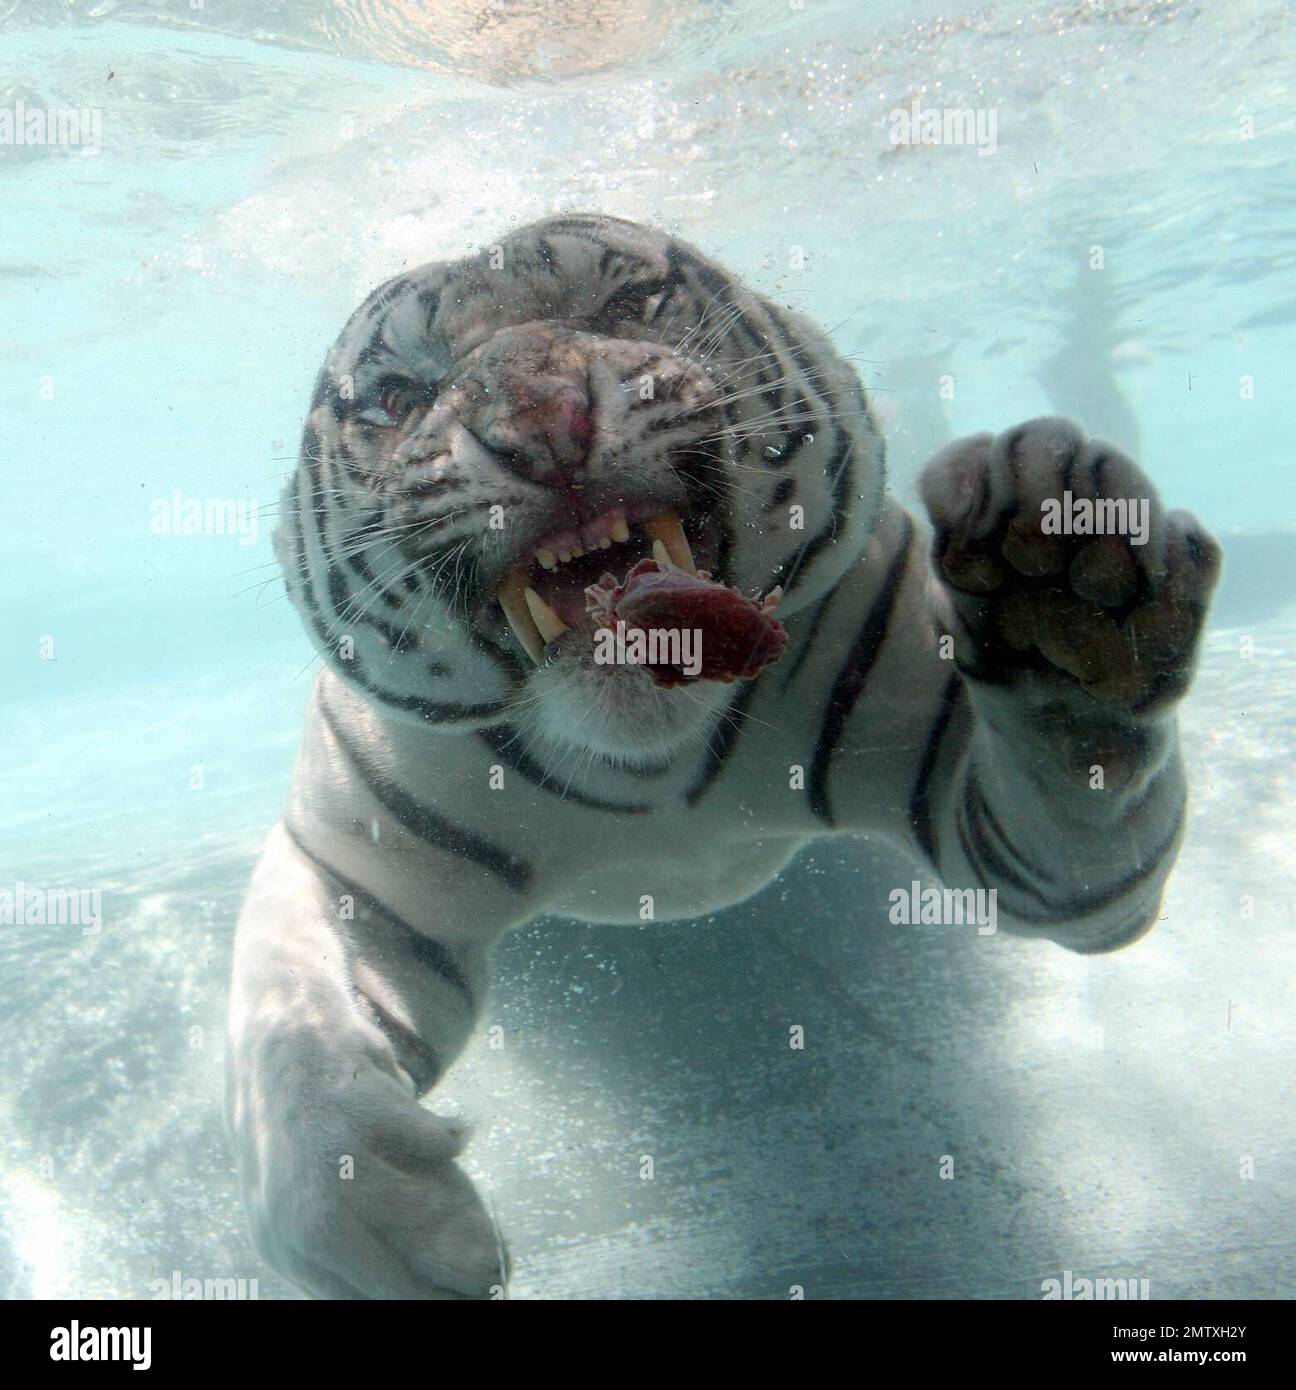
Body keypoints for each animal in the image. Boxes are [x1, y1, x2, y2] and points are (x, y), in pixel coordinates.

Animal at [219, 211, 1212, 1295]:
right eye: (400, 395)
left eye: (624, 304)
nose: (543, 425)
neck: (648, 771)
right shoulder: (351, 863)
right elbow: (289, 1039)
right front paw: (390, 1223)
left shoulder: (976, 776)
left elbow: (1080, 770)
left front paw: (1066, 593)